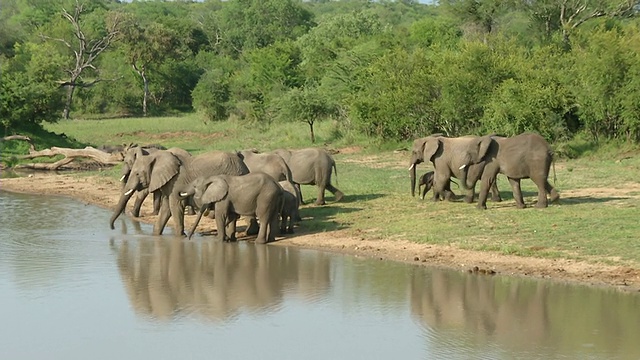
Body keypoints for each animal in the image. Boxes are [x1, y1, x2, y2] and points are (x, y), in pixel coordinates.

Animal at [109, 149, 249, 236]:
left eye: (137, 173)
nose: (112, 228)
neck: (156, 156)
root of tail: (245, 166)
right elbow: (166, 207)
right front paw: (155, 235)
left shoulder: (176, 182)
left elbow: (175, 206)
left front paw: (181, 237)